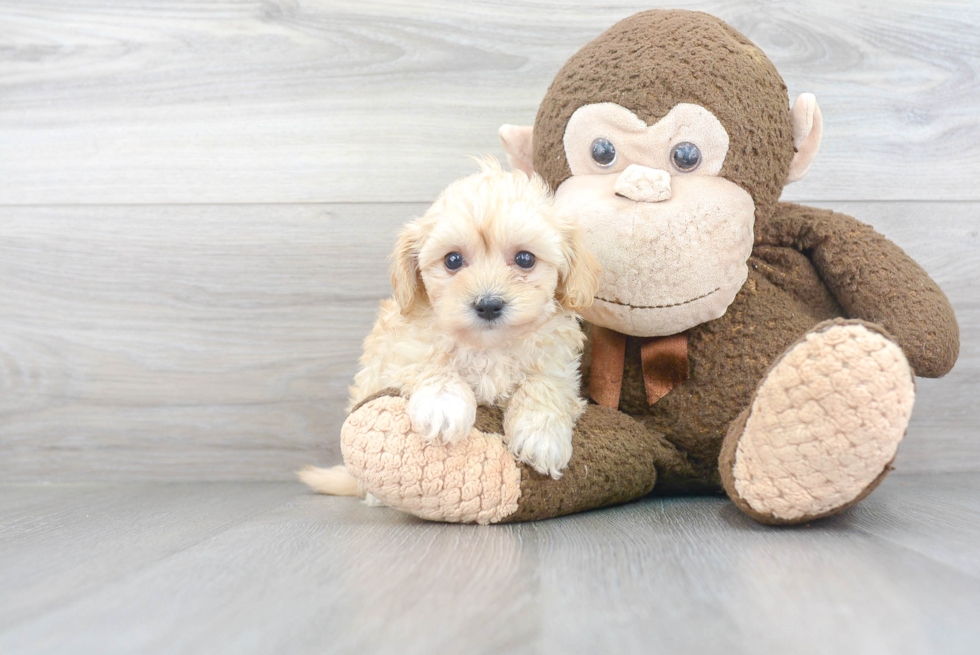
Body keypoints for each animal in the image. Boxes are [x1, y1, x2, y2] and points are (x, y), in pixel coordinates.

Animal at [302, 159, 600, 498]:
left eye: (525, 258)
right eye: (453, 260)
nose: (488, 304)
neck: (488, 346)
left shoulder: (558, 364)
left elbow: (545, 385)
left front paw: (542, 436)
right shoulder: (399, 354)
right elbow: (431, 363)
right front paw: (443, 405)